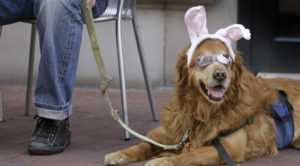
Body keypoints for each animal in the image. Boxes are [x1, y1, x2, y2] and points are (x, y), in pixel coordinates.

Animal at [104, 5, 300, 166]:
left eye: (227, 60)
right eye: (203, 61)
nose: (220, 74)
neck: (202, 111)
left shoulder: (230, 146)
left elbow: (192, 155)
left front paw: (166, 160)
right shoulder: (172, 130)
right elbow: (145, 144)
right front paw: (120, 154)